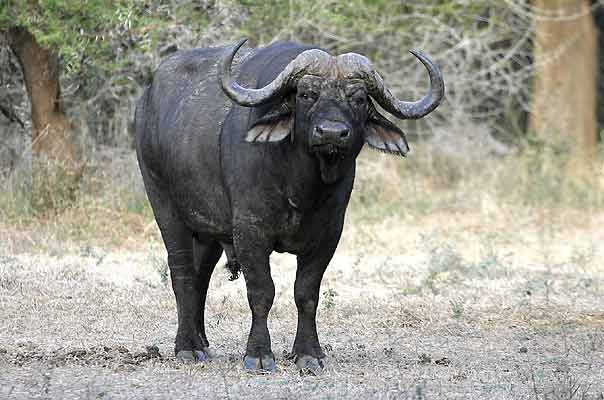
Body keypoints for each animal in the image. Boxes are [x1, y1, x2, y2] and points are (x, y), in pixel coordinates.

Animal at [134, 38, 444, 372]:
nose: (331, 133)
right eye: (307, 94)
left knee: (200, 277)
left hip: (208, 232)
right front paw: (258, 353)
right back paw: (188, 346)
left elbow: (306, 294)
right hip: (165, 206)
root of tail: (146, 99)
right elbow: (262, 291)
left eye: (359, 98)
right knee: (182, 274)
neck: (302, 187)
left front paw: (308, 352)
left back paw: (202, 340)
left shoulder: (328, 236)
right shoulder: (250, 231)